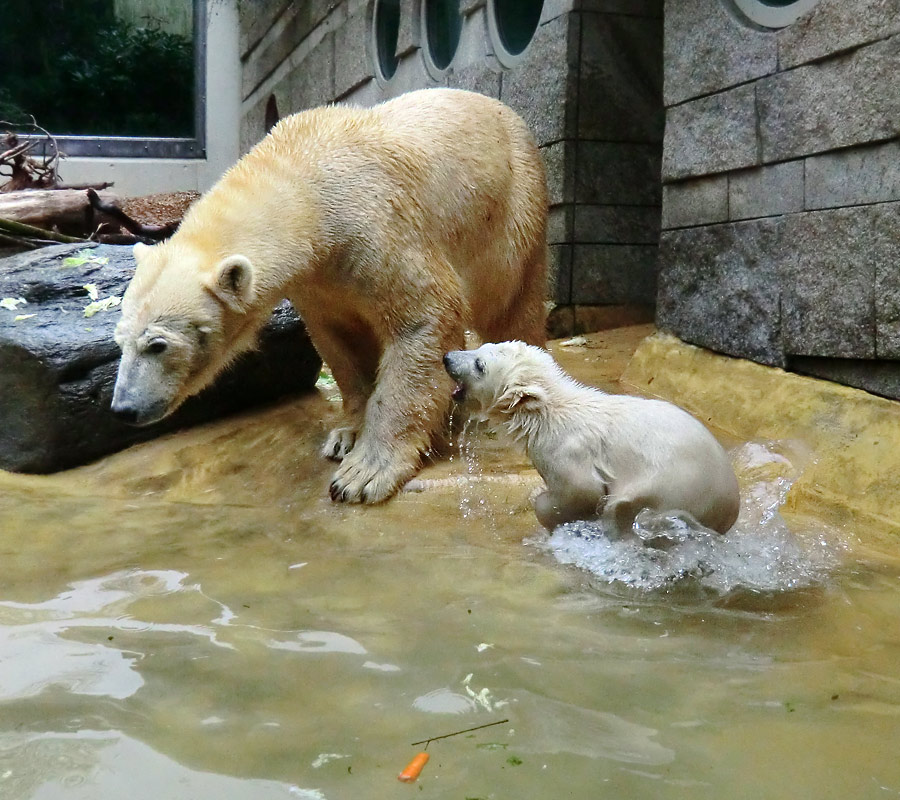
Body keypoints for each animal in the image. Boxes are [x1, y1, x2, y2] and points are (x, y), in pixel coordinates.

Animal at [112, 87, 548, 500]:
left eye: (158, 345)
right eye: (120, 342)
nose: (124, 408)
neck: (306, 187)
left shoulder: (378, 227)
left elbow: (425, 317)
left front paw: (364, 473)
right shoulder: (318, 282)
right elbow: (340, 343)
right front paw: (345, 437)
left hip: (513, 216)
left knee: (514, 310)